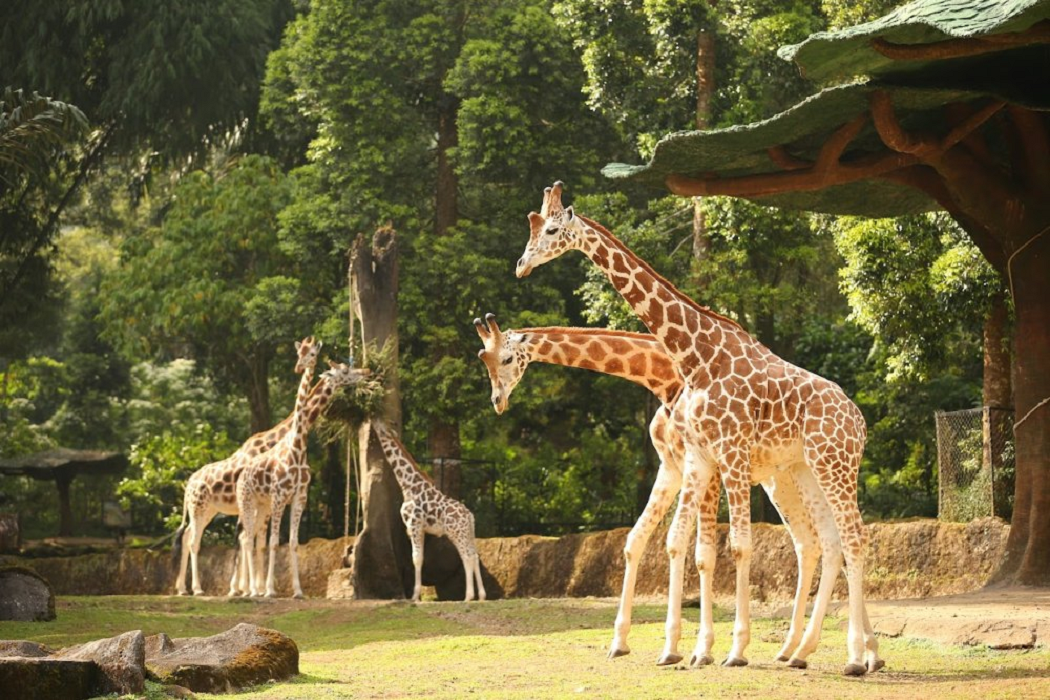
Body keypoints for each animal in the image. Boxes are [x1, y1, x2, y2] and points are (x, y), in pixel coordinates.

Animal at [174, 335, 321, 596]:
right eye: (299, 353)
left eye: (312, 353)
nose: (298, 367)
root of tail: (189, 483)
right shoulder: (274, 498)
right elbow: (261, 541)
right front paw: (257, 589)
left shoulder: (296, 497)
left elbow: (282, 542)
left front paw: (289, 590)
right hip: (201, 508)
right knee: (195, 541)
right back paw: (198, 589)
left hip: (207, 510)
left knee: (189, 536)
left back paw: (184, 588)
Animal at [238, 361, 369, 596]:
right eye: (345, 370)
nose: (366, 372)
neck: (297, 446)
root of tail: (242, 473)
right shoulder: (280, 497)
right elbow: (274, 542)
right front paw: (270, 590)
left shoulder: (299, 497)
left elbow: (293, 542)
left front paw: (298, 591)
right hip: (247, 501)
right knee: (248, 538)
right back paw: (251, 590)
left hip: (262, 506)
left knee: (249, 538)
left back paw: (251, 588)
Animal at [371, 419, 485, 604]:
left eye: (381, 424)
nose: (372, 420)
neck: (408, 485)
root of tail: (469, 516)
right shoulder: (420, 528)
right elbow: (420, 558)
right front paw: (416, 595)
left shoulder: (414, 524)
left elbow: (416, 558)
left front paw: (414, 597)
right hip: (468, 533)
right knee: (474, 556)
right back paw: (482, 596)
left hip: (456, 533)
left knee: (467, 557)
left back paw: (468, 596)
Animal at [514, 183, 877, 675]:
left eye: (551, 230)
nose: (522, 264)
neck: (697, 355)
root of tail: (858, 420)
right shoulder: (703, 456)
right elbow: (693, 547)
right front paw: (695, 648)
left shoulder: (731, 451)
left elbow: (738, 546)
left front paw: (732, 650)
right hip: (805, 470)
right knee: (826, 541)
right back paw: (803, 651)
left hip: (835, 464)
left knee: (854, 538)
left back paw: (856, 657)